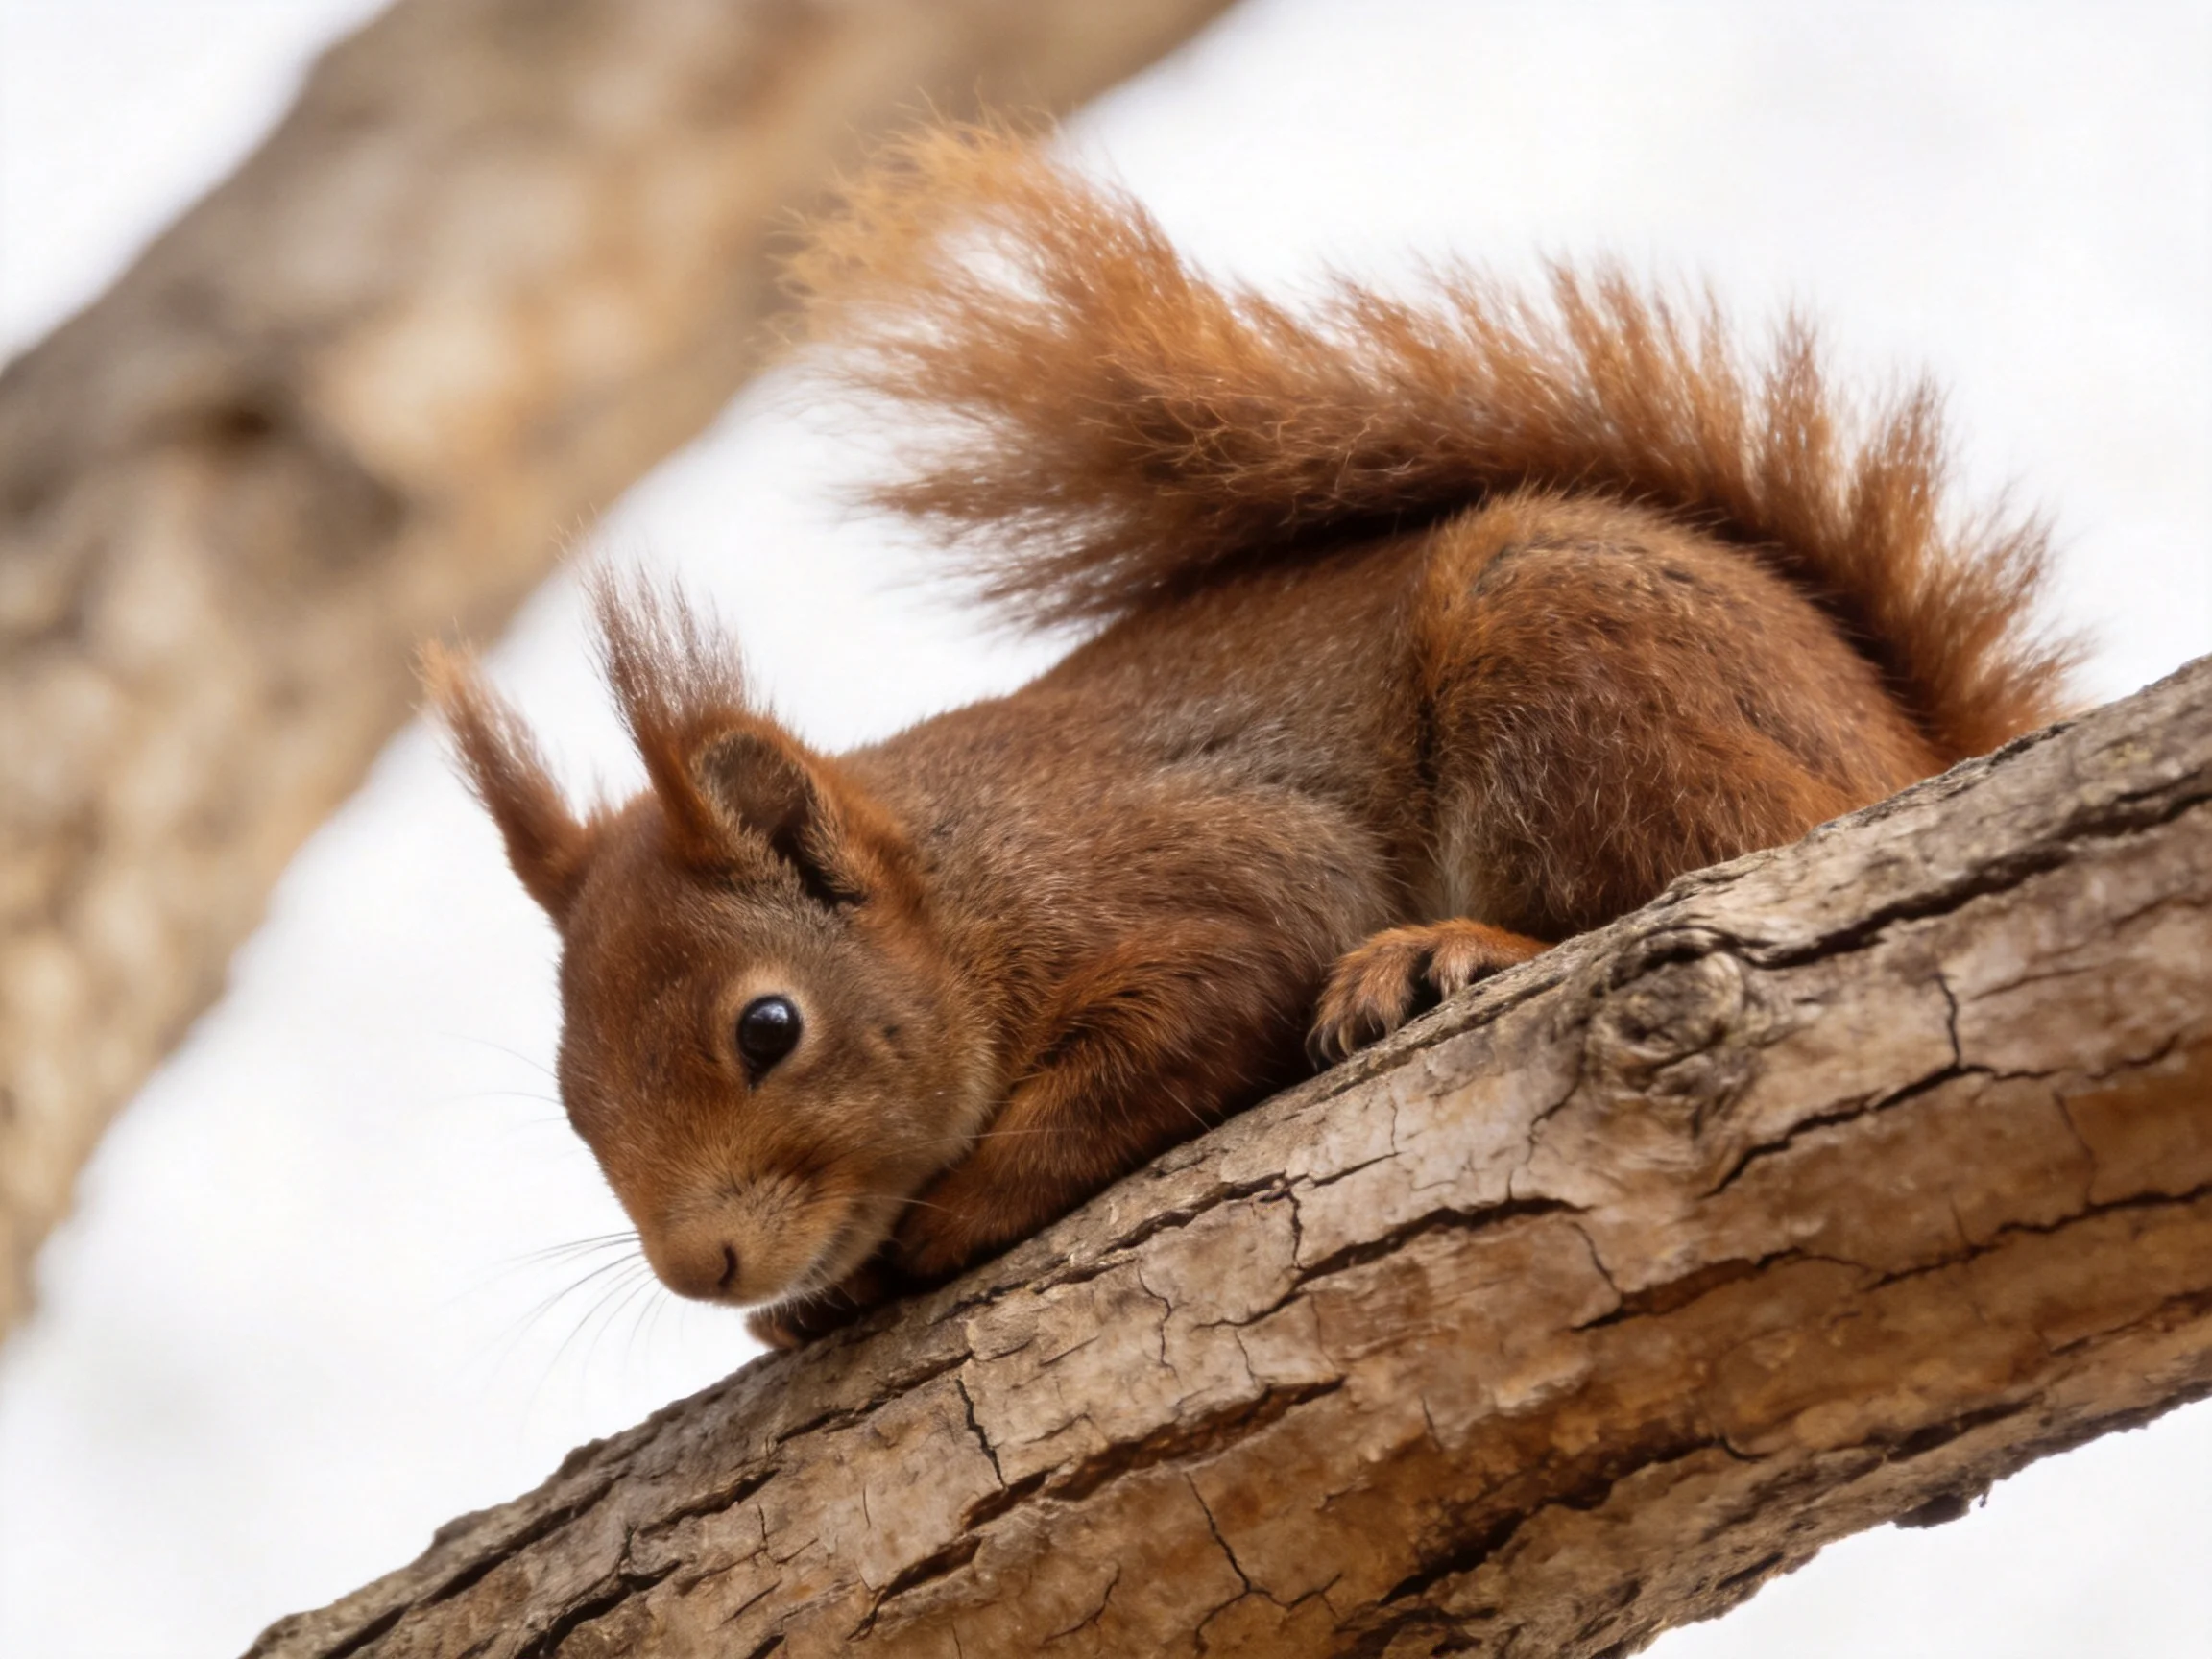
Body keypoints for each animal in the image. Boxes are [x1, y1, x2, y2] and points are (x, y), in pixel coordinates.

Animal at [427, 127, 2071, 1349]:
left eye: (768, 1029)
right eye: (572, 1101)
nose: (698, 1270)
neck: (963, 896)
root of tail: (1907, 749)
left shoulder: (1202, 880)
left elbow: (1183, 1024)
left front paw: (943, 1220)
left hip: (1574, 669)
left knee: (1701, 866)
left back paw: (1451, 953)